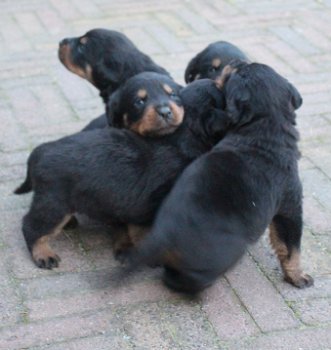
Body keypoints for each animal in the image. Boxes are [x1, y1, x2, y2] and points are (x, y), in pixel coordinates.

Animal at [14, 71, 228, 268]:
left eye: (174, 95)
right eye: (139, 101)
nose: (216, 81)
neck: (184, 134)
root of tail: (39, 151)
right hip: (54, 204)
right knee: (31, 225)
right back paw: (43, 254)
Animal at [127, 60, 314, 296]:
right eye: (238, 72)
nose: (237, 62)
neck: (264, 127)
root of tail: (162, 234)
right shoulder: (290, 206)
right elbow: (291, 248)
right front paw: (298, 277)